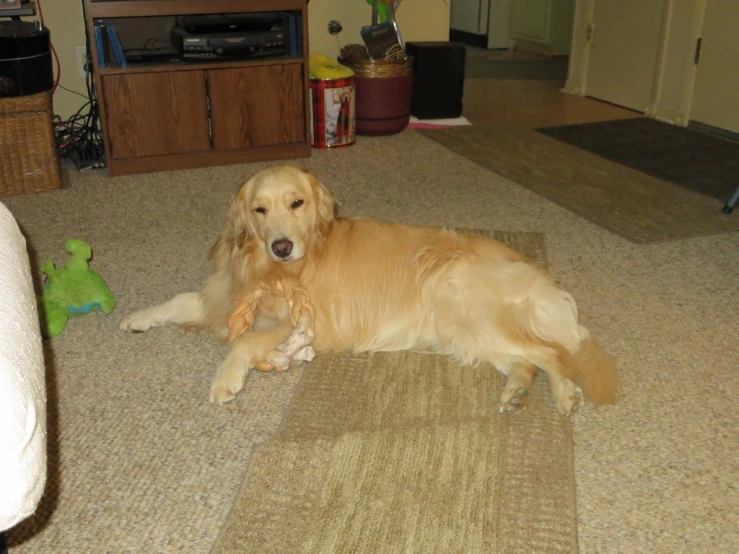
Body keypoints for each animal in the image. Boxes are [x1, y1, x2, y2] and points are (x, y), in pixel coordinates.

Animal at [120, 165, 620, 414]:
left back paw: (565, 395)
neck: (269, 266)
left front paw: (225, 381)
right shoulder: (225, 292)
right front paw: (137, 318)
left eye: (296, 203)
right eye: (259, 209)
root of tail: (528, 264)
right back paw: (517, 392)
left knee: (555, 353)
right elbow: (181, 300)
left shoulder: (303, 320)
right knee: (528, 361)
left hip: (470, 309)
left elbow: (243, 341)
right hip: (462, 330)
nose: (282, 246)